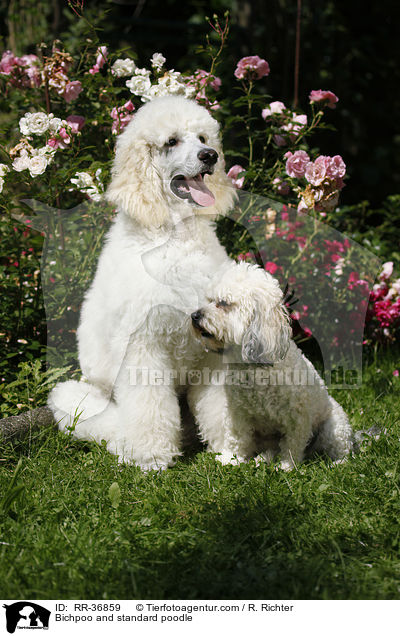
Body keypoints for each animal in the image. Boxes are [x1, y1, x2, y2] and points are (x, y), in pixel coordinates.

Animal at [47, 95, 236, 472]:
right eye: (171, 141)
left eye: (203, 138)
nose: (210, 156)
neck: (174, 238)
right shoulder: (143, 346)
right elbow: (149, 405)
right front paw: (151, 456)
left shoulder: (210, 347)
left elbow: (218, 404)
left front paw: (233, 448)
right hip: (88, 397)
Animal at [189, 260, 352, 470]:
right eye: (209, 299)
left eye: (223, 303)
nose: (194, 315)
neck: (253, 368)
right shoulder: (237, 412)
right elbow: (237, 437)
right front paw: (232, 459)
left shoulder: (297, 418)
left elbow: (292, 444)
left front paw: (286, 466)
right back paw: (262, 458)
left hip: (334, 427)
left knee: (342, 449)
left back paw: (338, 463)